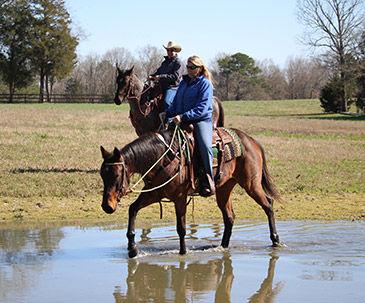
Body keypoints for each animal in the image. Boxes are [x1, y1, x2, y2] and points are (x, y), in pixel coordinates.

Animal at [99, 126, 282, 258]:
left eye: (116, 175)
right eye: (102, 174)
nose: (107, 206)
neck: (162, 158)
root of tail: (250, 140)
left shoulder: (180, 197)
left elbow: (181, 228)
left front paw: (183, 253)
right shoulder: (153, 194)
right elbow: (133, 209)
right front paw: (132, 248)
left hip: (252, 184)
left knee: (268, 205)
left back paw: (275, 240)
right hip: (224, 188)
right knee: (229, 216)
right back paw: (223, 246)